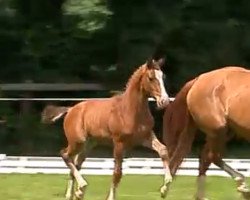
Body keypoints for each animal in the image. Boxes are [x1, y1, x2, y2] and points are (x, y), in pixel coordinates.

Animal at [42, 58, 173, 200]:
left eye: (163, 77)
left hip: (88, 145)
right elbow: (117, 173)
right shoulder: (119, 143)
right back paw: (81, 186)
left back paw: (75, 194)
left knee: (75, 163)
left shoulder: (146, 137)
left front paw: (164, 190)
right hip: (77, 141)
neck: (130, 110)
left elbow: (163, 150)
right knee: (65, 155)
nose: (164, 101)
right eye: (151, 77)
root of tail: (70, 109)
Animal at [163, 66, 249, 199]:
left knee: (205, 157)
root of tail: (198, 79)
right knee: (212, 157)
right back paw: (242, 186)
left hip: (221, 132)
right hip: (218, 129)